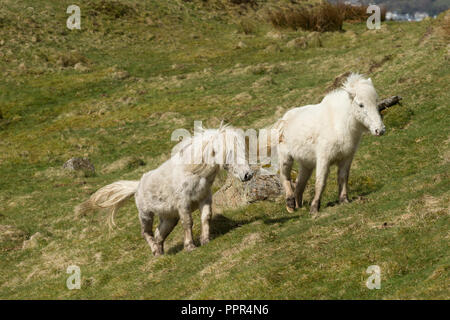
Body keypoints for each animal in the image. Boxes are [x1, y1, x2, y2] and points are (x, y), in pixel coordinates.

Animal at [75, 126, 255, 256]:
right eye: (230, 152)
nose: (248, 175)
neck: (193, 172)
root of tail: (138, 185)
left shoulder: (204, 198)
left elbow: (206, 217)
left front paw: (205, 240)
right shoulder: (183, 204)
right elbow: (188, 222)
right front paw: (190, 246)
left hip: (169, 217)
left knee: (158, 234)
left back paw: (160, 252)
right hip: (146, 215)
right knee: (146, 233)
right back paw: (155, 251)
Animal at [276, 73, 384, 214]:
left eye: (376, 102)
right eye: (361, 105)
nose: (380, 130)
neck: (339, 124)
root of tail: (283, 119)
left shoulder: (346, 158)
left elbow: (343, 177)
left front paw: (344, 200)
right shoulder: (324, 158)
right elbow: (321, 182)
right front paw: (314, 208)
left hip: (306, 164)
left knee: (300, 183)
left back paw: (299, 205)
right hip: (286, 158)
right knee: (286, 178)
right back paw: (290, 205)